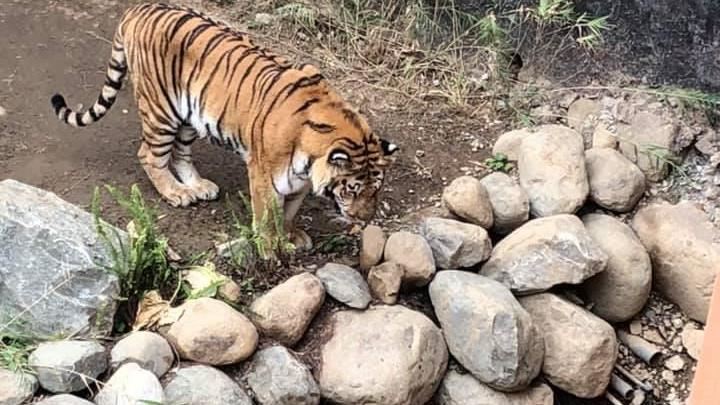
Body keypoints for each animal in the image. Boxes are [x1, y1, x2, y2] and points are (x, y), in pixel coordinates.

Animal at [50, 2, 398, 251]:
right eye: (352, 189)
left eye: (376, 189)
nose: (364, 219)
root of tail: (138, 9)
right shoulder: (264, 176)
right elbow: (267, 216)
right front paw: (270, 249)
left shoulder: (299, 182)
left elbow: (289, 211)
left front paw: (291, 235)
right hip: (160, 110)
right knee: (149, 154)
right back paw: (176, 193)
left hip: (191, 115)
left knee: (180, 153)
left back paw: (197, 186)